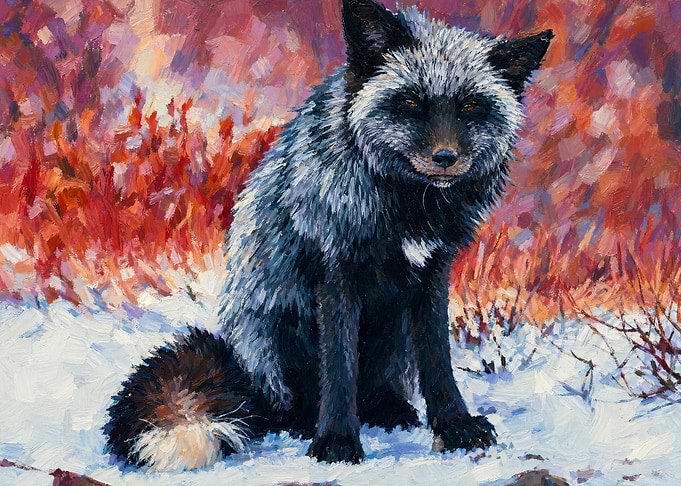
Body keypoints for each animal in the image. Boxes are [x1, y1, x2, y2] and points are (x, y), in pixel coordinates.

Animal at [105, 0, 553, 472]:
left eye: (470, 106)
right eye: (411, 102)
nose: (445, 158)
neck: (406, 210)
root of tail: (246, 375)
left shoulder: (432, 273)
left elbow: (438, 363)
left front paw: (455, 426)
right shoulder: (336, 271)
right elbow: (338, 368)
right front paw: (336, 442)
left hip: (392, 335)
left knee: (377, 389)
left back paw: (389, 410)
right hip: (281, 327)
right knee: (289, 405)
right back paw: (306, 422)